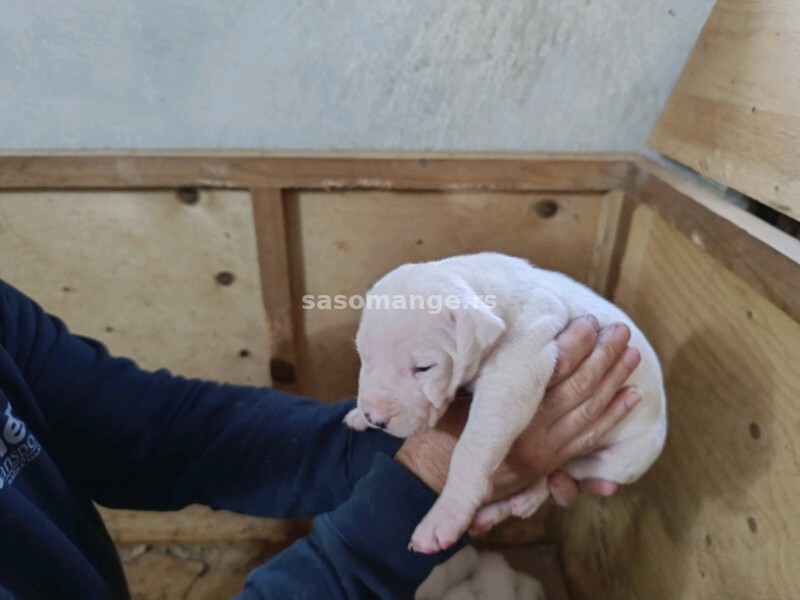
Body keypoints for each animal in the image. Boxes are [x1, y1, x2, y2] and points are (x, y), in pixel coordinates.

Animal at [346, 252, 664, 552]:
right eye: (364, 356)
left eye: (424, 368)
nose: (375, 417)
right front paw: (358, 415)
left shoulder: (516, 371)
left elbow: (472, 448)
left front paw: (445, 517)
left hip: (620, 461)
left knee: (561, 471)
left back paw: (524, 498)